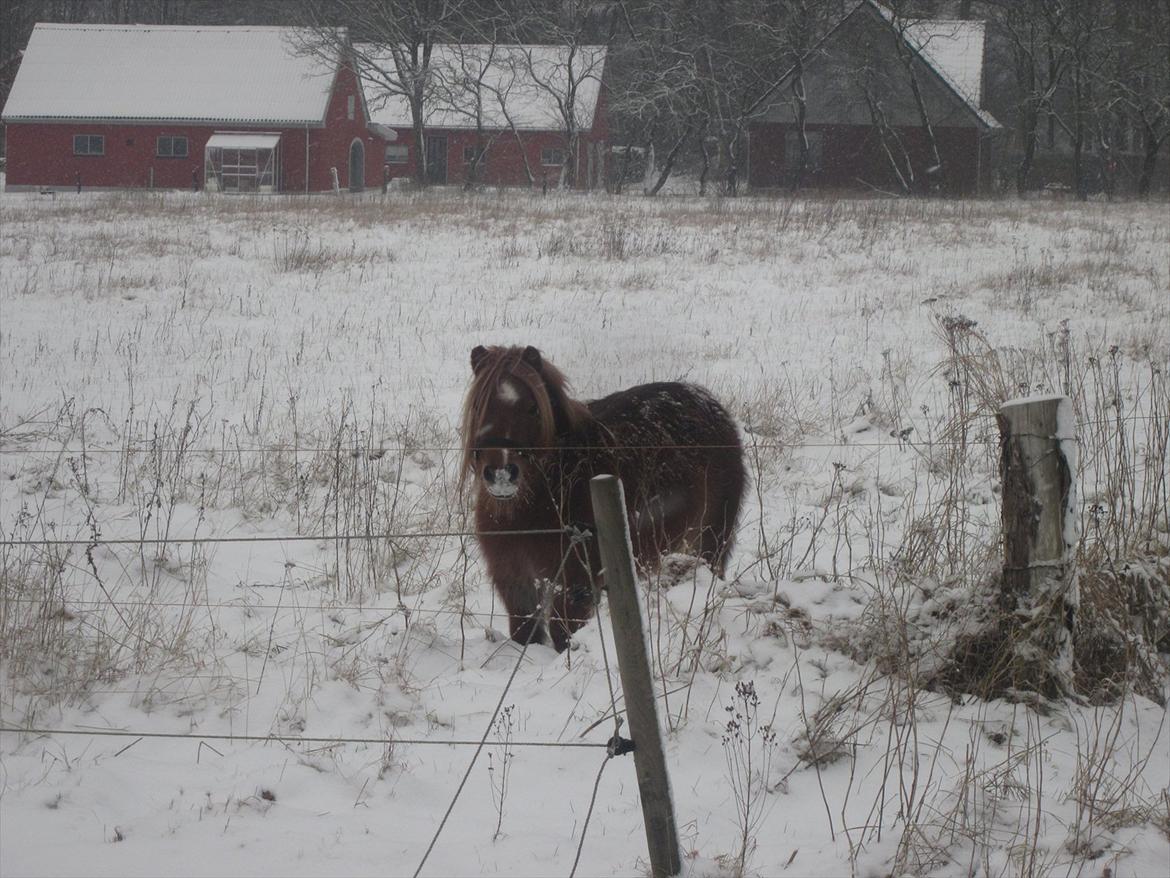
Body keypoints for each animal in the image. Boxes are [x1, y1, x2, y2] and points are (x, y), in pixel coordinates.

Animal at [460, 346, 744, 655]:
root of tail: (709, 402)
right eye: (478, 407)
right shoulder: (514, 580)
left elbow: (563, 635)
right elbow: (524, 634)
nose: (501, 474)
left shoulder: (576, 583)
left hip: (709, 539)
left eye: (533, 409)